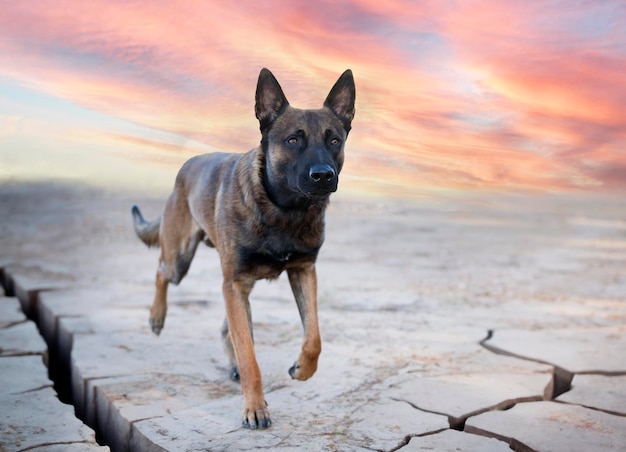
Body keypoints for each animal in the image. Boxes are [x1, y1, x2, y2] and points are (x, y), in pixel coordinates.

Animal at [129, 69, 354, 430]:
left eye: (334, 140)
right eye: (293, 140)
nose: (323, 176)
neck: (284, 211)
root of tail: (187, 165)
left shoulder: (303, 270)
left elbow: (314, 338)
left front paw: (302, 369)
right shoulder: (234, 283)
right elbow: (250, 355)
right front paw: (255, 407)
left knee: (227, 328)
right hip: (182, 259)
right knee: (162, 272)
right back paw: (157, 316)